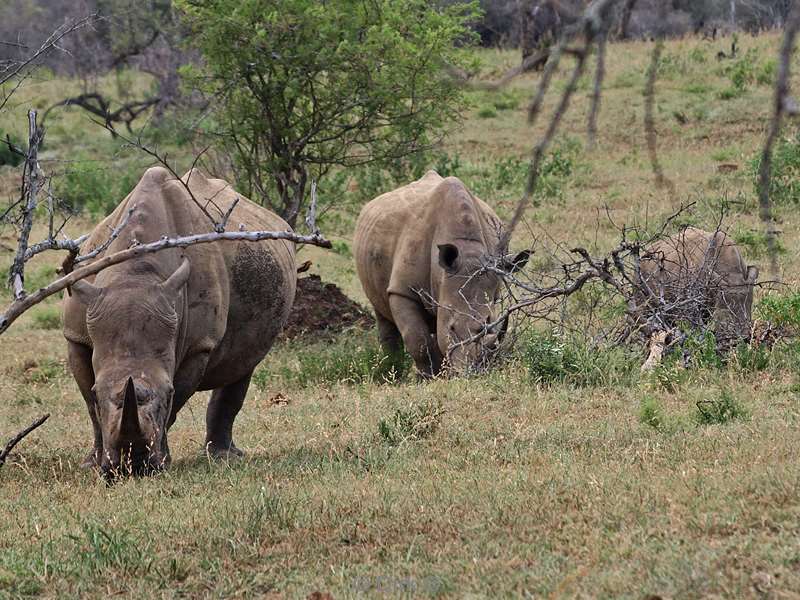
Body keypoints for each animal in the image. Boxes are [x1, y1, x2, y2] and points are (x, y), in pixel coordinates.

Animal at [61, 166, 296, 476]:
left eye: (168, 392)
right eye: (98, 391)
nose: (132, 468)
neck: (134, 275)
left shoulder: (199, 344)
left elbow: (177, 402)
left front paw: (163, 461)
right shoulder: (75, 334)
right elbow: (90, 407)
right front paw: (92, 463)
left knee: (244, 362)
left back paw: (224, 457)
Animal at [354, 169, 528, 378]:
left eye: (487, 322)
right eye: (451, 328)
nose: (471, 371)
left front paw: (442, 372)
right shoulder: (402, 290)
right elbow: (418, 339)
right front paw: (431, 375)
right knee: (382, 311)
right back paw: (392, 371)